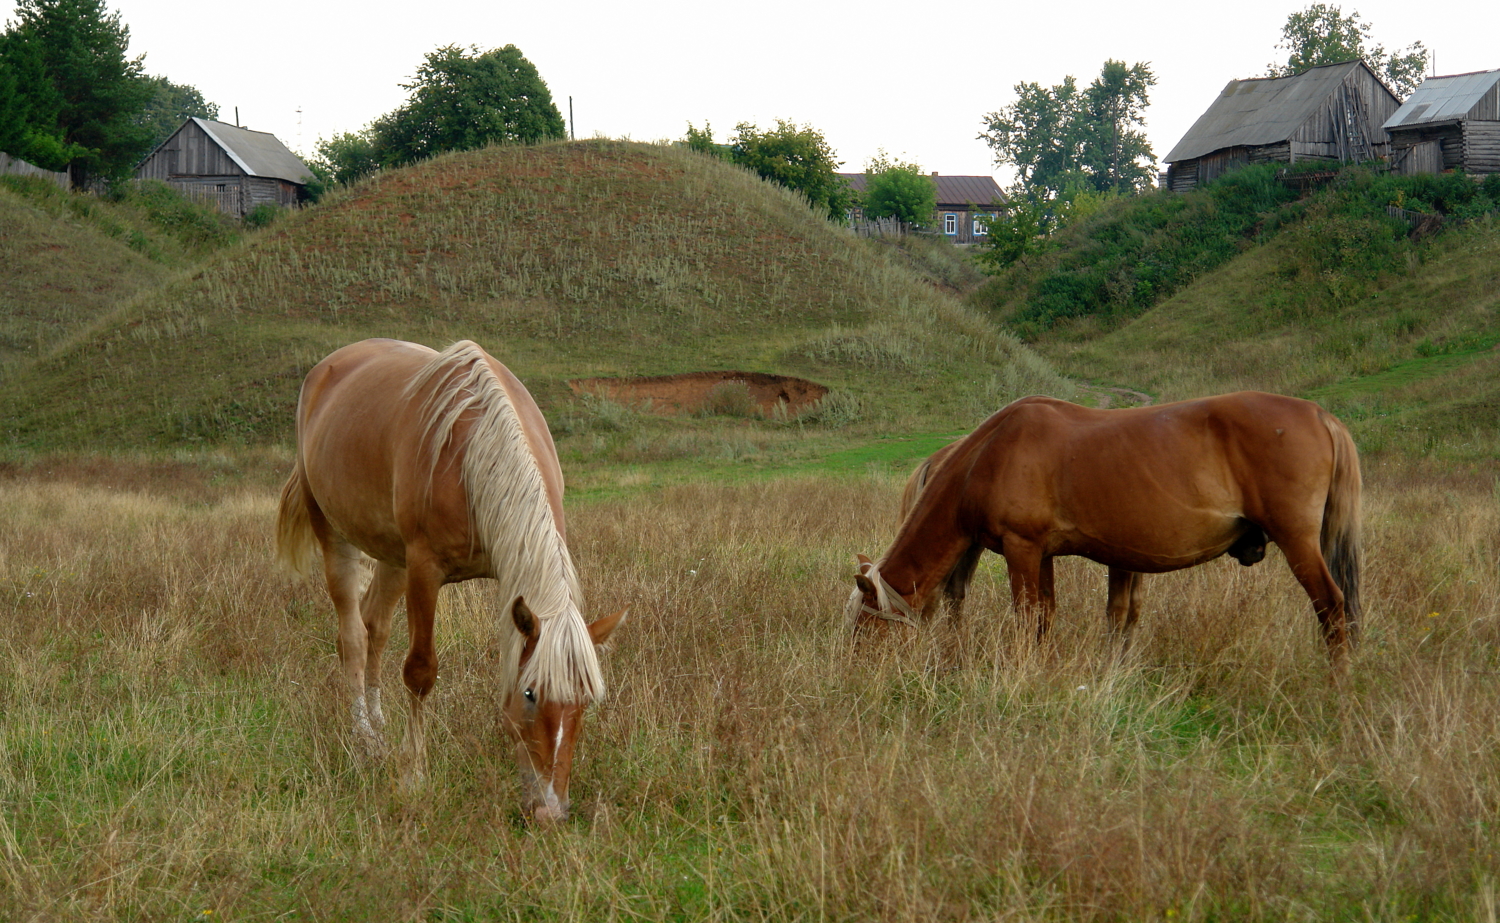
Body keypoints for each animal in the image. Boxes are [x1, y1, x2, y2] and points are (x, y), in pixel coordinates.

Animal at [279, 339, 624, 822]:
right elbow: (420, 672)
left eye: (586, 700)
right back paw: (365, 738)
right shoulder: (425, 569)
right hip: (335, 533)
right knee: (352, 636)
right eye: (532, 694)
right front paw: (414, 775)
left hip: (392, 555)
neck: (475, 455)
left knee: (374, 627)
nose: (551, 813)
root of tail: (326, 368)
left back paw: (379, 724)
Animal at [852, 393, 1368, 672]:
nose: (856, 672)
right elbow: (1045, 618)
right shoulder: (1042, 554)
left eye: (864, 626)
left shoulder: (1022, 549)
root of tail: (1320, 415)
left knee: (1331, 606)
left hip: (1299, 544)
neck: (990, 453)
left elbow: (1026, 617)